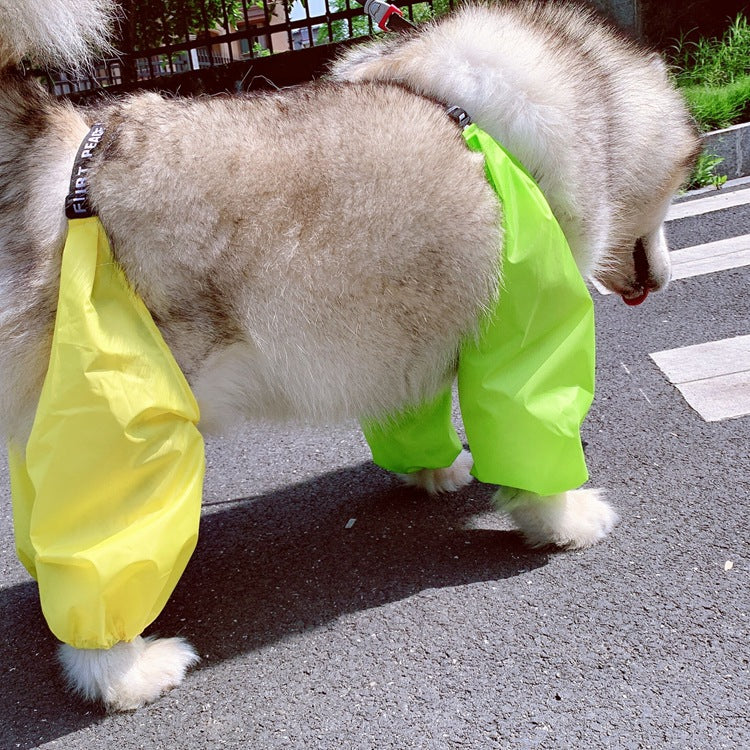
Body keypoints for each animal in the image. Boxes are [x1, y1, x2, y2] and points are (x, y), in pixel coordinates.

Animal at [0, 0, 704, 712]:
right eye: (679, 183)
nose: (667, 277)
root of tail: (70, 154)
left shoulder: (401, 334)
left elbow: (415, 411)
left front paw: (434, 473)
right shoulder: (525, 327)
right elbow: (533, 436)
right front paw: (565, 520)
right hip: (131, 419)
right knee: (106, 554)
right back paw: (125, 669)